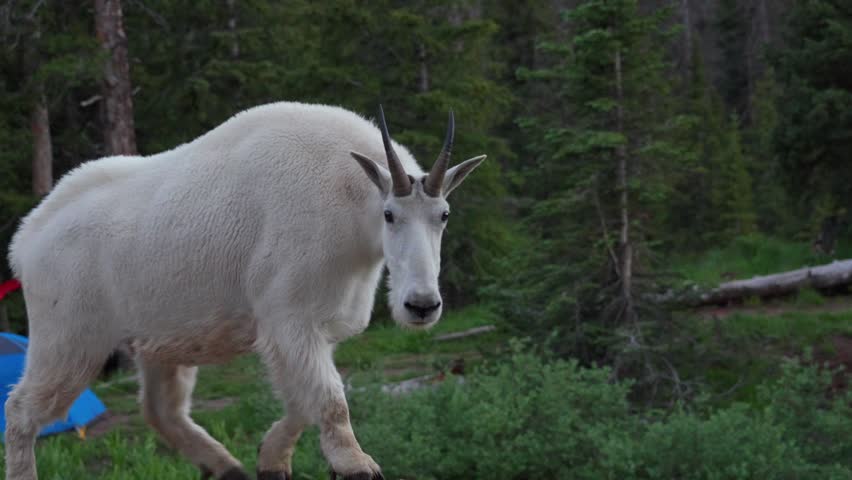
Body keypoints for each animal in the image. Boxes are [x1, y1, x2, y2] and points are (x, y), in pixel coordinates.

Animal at [5, 102, 486, 480]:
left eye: (443, 214)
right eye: (389, 214)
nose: (421, 305)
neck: (349, 200)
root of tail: (27, 241)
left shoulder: (309, 328)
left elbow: (304, 401)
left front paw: (270, 459)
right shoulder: (288, 317)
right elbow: (330, 399)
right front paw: (355, 465)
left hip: (158, 341)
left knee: (161, 411)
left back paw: (225, 466)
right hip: (68, 338)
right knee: (20, 411)